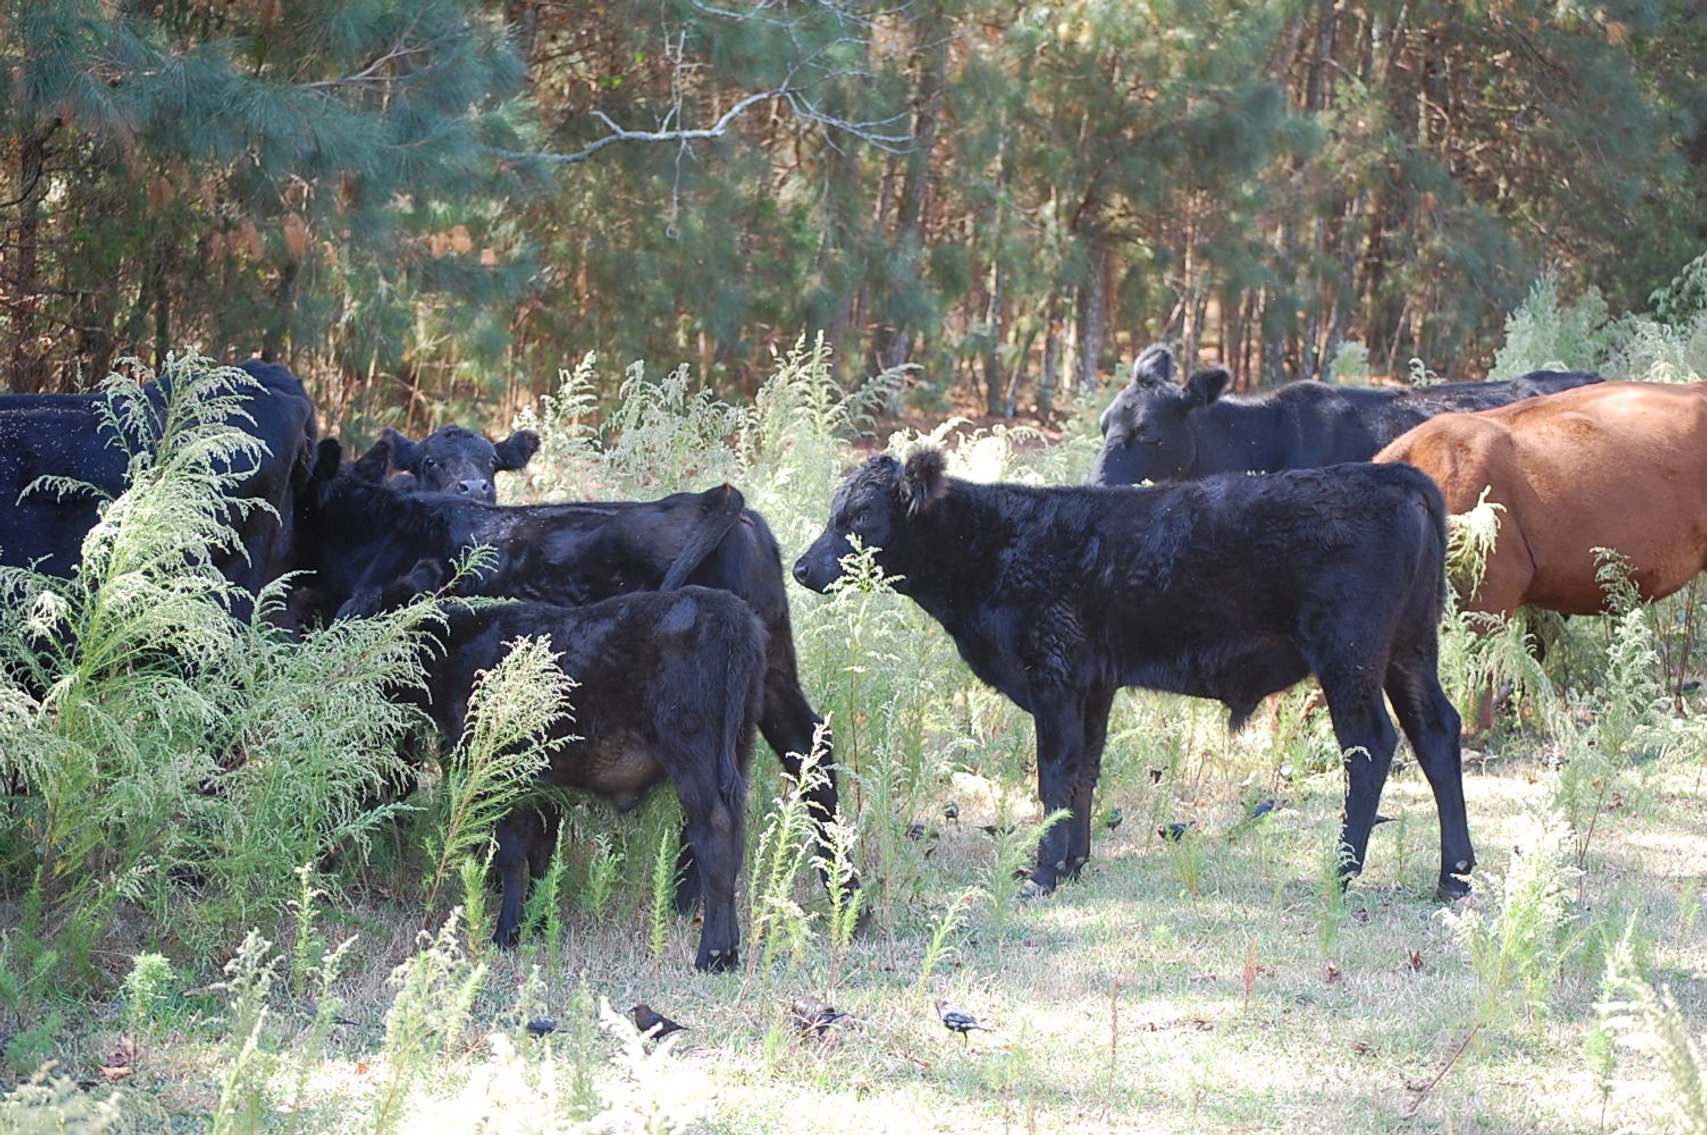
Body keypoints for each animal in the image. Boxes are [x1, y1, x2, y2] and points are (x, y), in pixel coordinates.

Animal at [407, 587, 765, 970]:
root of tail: (727, 610)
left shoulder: (510, 773)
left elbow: (513, 853)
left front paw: (508, 933)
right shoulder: (544, 787)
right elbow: (542, 850)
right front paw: (540, 921)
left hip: (692, 753)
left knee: (715, 832)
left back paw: (713, 954)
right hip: (738, 750)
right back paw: (730, 950)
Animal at [794, 448, 1473, 901]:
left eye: (859, 517)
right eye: (834, 512)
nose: (800, 568)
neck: (997, 544)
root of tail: (1394, 477)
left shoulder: (1054, 677)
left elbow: (1054, 773)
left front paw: (1042, 874)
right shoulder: (1093, 684)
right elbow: (1084, 772)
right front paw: (1073, 864)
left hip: (1349, 656)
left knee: (1371, 746)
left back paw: (1343, 872)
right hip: (1410, 649)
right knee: (1437, 732)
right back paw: (1454, 877)